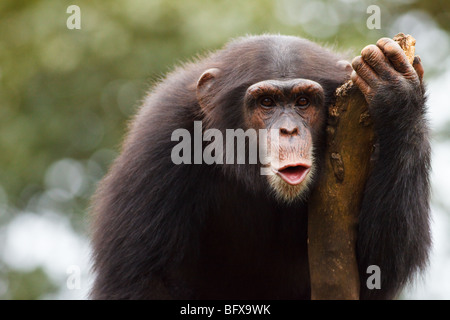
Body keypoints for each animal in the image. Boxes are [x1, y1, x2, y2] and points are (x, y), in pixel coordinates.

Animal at [89, 35, 430, 300]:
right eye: (266, 102)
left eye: (303, 102)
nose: (289, 130)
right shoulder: (160, 138)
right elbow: (142, 277)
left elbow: (378, 262)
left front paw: (395, 89)